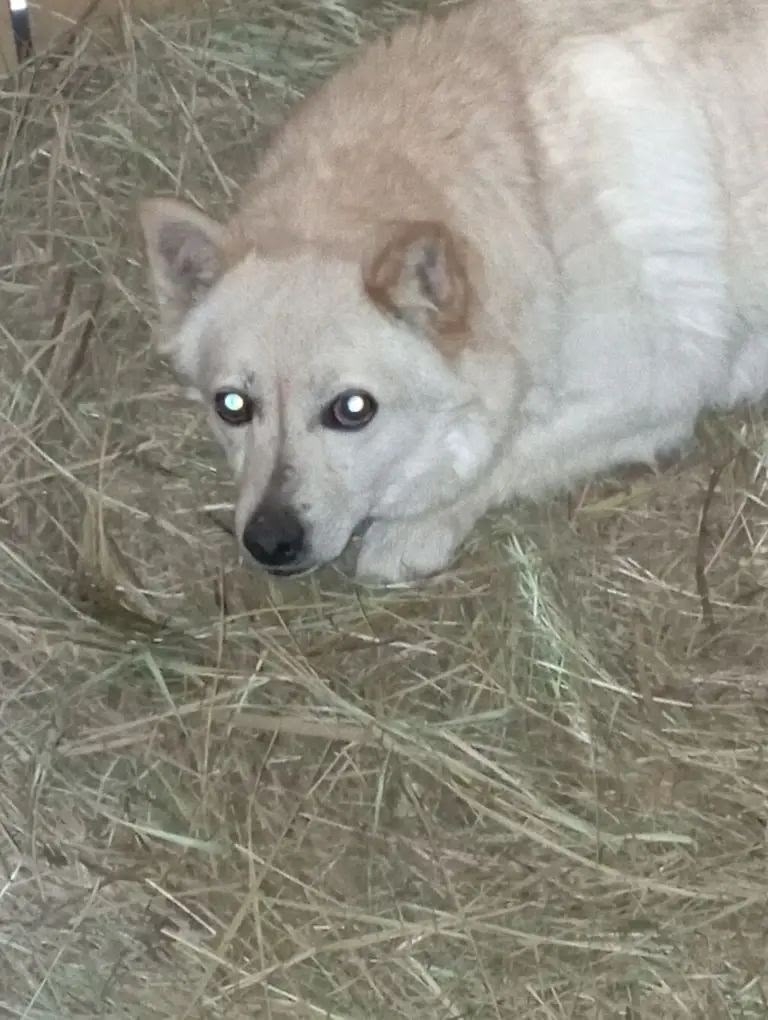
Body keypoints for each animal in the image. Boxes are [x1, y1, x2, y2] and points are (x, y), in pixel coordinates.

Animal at [139, 0, 768, 584]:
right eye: (232, 406)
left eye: (352, 410)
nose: (269, 542)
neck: (535, 192)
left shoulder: (653, 390)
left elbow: (498, 455)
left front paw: (413, 528)